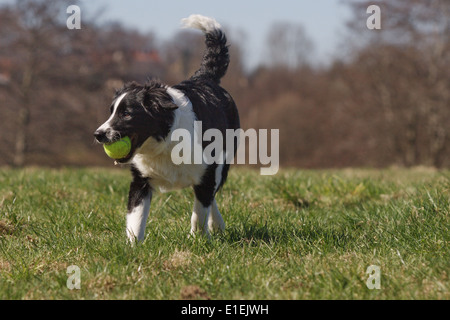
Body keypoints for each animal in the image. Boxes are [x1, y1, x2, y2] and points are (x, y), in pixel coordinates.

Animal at [94, 13, 239, 241]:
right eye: (111, 111)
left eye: (126, 113)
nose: (98, 134)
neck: (164, 142)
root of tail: (204, 77)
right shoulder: (140, 181)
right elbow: (136, 218)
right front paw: (132, 245)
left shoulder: (207, 172)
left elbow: (199, 213)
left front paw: (197, 239)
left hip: (223, 162)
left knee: (211, 195)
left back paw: (216, 225)